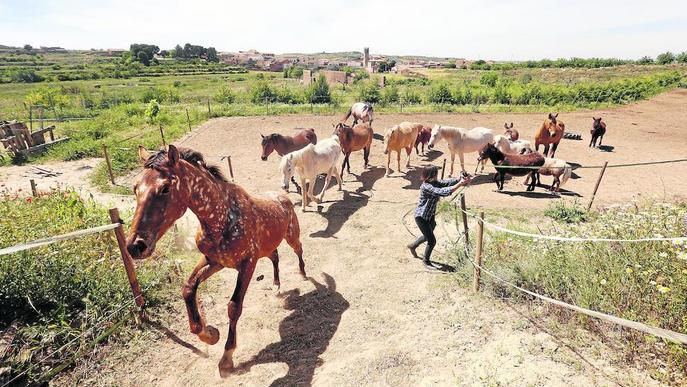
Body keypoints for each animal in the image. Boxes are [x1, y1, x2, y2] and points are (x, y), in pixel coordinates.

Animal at [125, 146, 306, 378]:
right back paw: (276, 286)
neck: (223, 219)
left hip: (291, 236)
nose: (135, 246)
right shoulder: (214, 261)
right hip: (266, 248)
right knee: (274, 256)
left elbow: (234, 306)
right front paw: (209, 333)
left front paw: (227, 358)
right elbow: (188, 288)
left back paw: (303, 274)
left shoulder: (247, 264)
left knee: (299, 250)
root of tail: (282, 196)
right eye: (135, 188)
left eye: (165, 188)